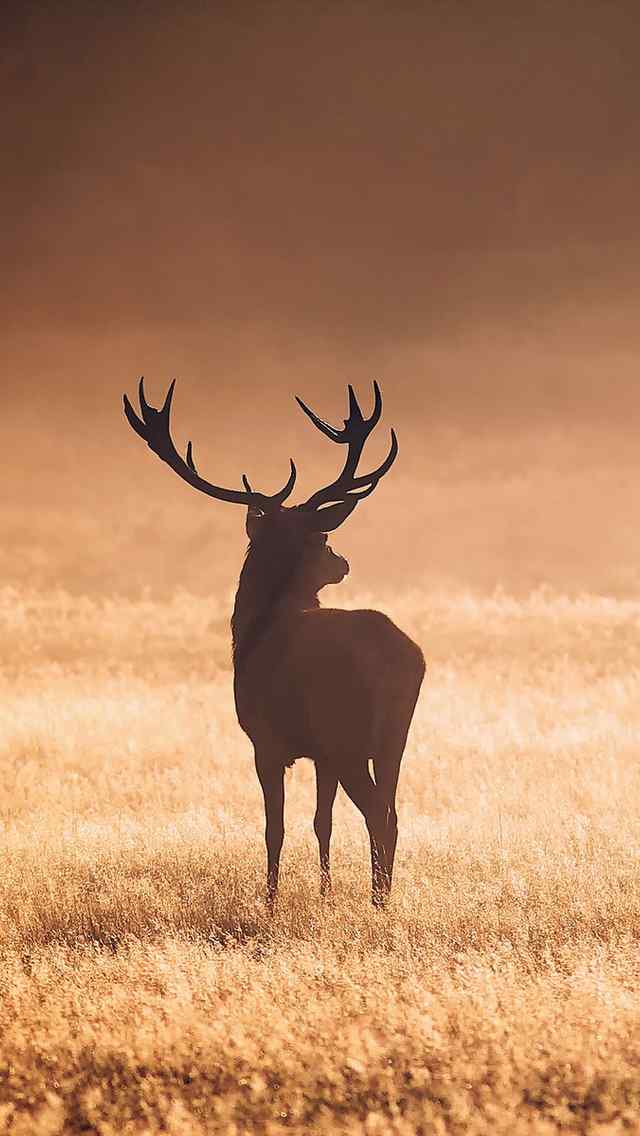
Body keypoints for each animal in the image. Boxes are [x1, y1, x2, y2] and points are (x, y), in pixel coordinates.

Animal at [124, 379, 425, 904]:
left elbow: (274, 828)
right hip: (393, 736)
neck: (254, 631)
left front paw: (269, 902)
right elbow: (322, 821)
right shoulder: (320, 754)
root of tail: (403, 657)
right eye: (322, 539)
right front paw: (324, 894)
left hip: (346, 733)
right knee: (392, 812)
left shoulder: (264, 740)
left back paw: (378, 902)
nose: (342, 562)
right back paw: (382, 897)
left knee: (377, 814)